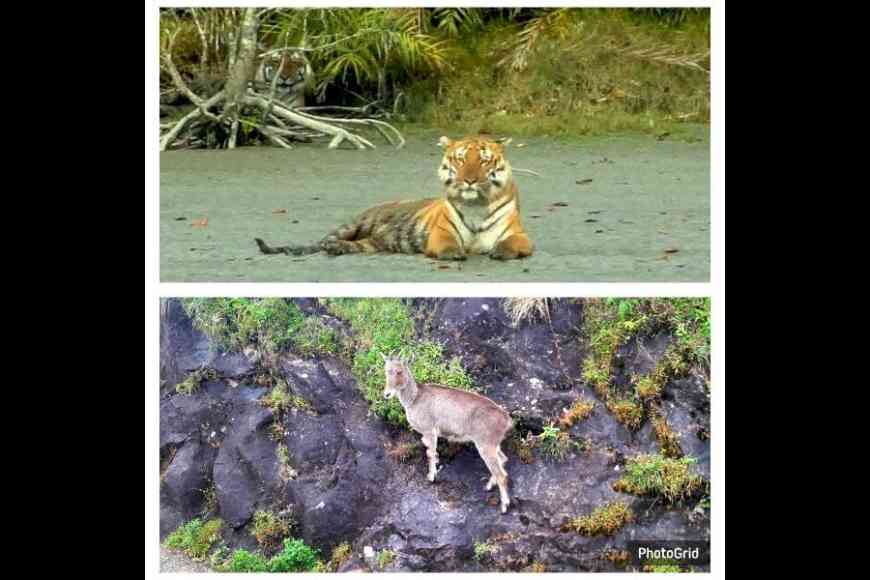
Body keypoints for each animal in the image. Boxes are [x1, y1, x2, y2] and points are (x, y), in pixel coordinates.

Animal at [254, 135, 534, 261]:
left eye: (484, 160)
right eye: (461, 159)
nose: (469, 180)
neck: (475, 203)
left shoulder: (520, 235)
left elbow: (511, 243)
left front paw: (500, 251)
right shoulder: (440, 233)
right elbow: (448, 244)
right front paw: (454, 253)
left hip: (371, 243)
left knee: (354, 244)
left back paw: (340, 248)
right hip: (355, 223)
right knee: (324, 241)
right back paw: (327, 247)